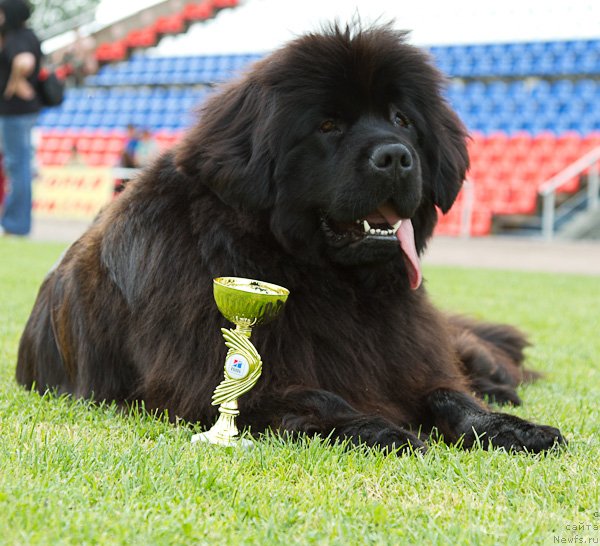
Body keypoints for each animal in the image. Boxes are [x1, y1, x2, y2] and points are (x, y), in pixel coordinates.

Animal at [16, 24, 564, 450]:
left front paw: (507, 426)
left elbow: (445, 391)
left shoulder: (404, 353)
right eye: (328, 125)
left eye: (402, 120)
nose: (395, 156)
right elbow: (311, 396)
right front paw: (378, 427)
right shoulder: (210, 379)